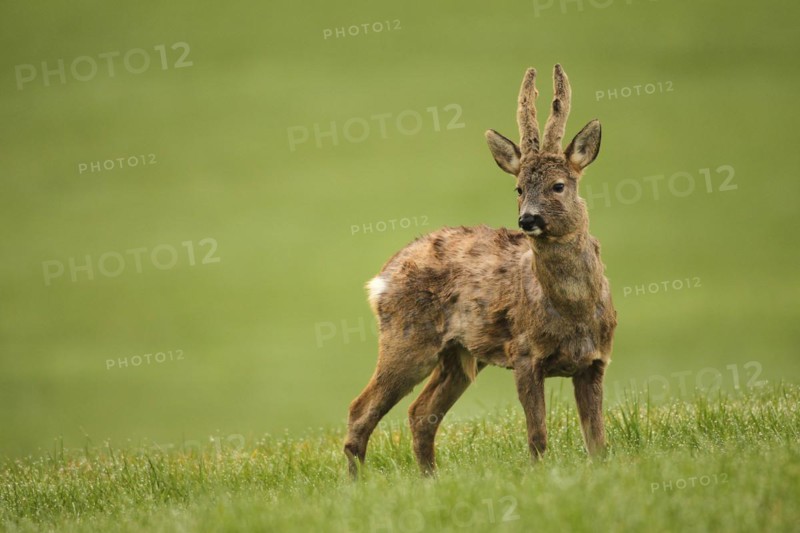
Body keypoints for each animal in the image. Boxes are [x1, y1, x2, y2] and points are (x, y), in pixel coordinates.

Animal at [344, 64, 617, 478]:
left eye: (558, 185)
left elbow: (597, 441)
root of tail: (380, 279)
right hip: (407, 339)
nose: (528, 220)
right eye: (518, 188)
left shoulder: (595, 360)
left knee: (420, 412)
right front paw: (539, 477)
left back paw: (430, 480)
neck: (573, 310)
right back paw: (357, 485)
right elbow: (537, 436)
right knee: (361, 410)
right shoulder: (524, 353)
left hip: (458, 355)